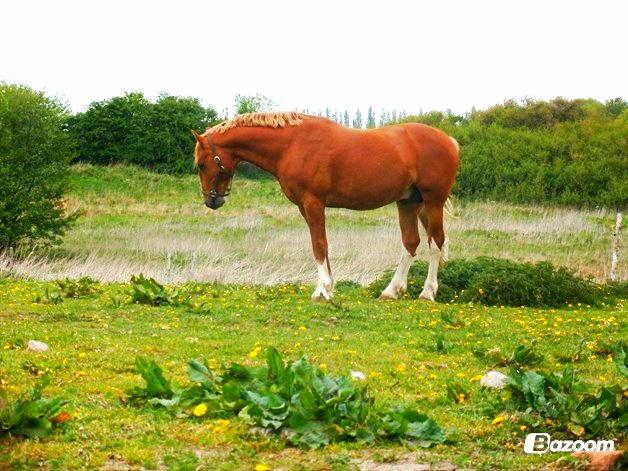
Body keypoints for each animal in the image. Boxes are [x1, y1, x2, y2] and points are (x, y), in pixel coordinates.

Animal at [194, 112, 458, 300]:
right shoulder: (305, 207)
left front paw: (321, 290)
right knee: (411, 243)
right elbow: (322, 245)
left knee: (435, 242)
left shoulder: (313, 203)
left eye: (201, 164)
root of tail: (450, 141)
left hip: (433, 201)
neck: (292, 144)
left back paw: (427, 293)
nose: (211, 200)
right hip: (408, 202)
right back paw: (391, 291)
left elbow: (319, 244)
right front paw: (329, 287)